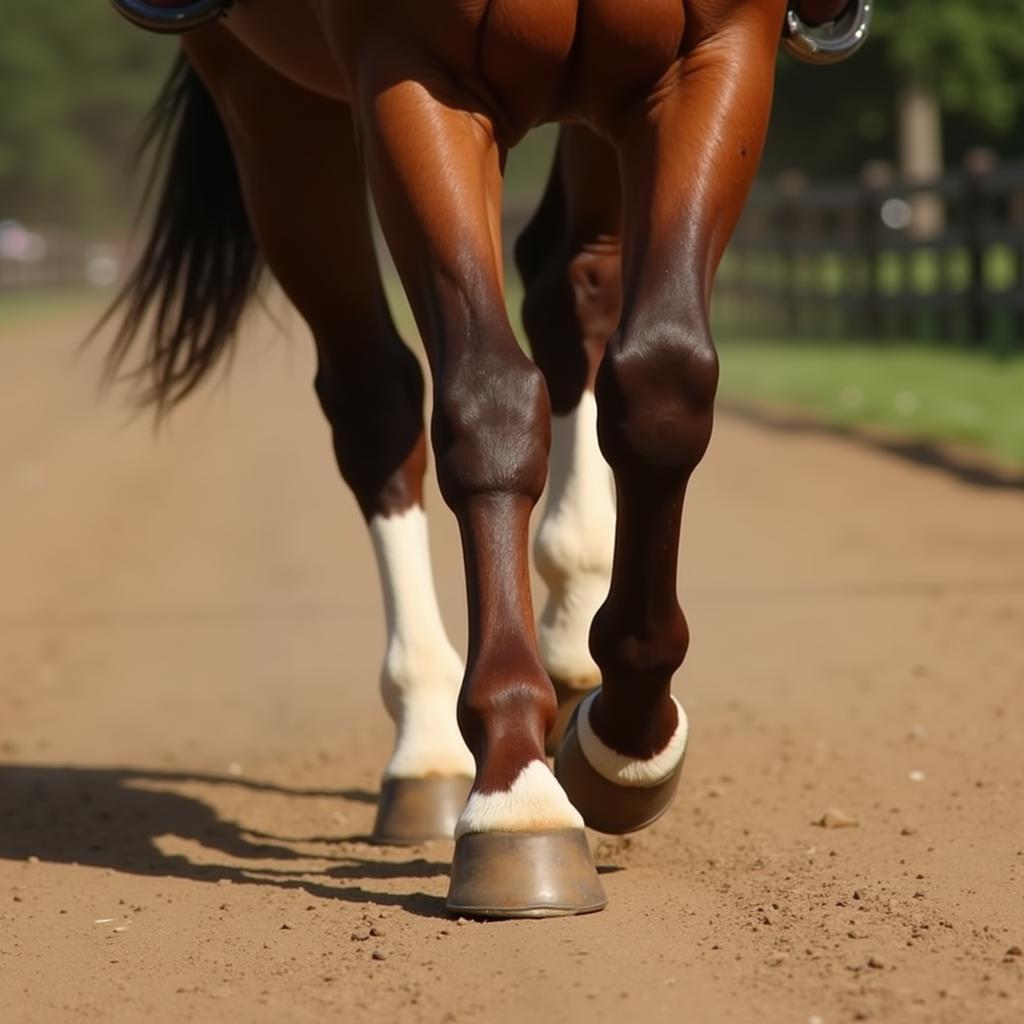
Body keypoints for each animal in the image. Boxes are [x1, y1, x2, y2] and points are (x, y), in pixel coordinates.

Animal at [101, 0, 872, 921]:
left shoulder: (710, 59)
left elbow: (661, 377)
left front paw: (623, 743)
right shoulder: (415, 77)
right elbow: (489, 400)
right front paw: (518, 793)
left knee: (573, 282)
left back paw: (571, 636)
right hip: (266, 102)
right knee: (374, 395)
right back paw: (429, 744)